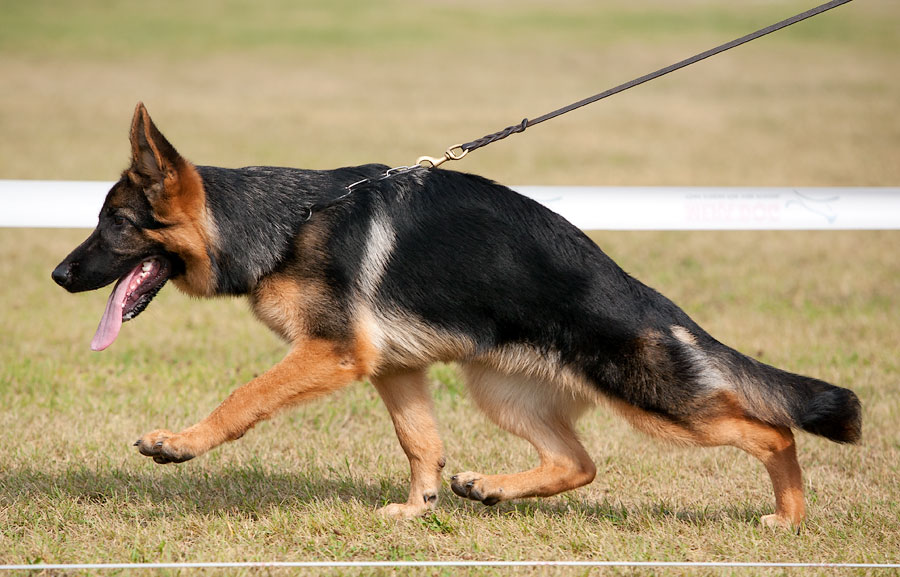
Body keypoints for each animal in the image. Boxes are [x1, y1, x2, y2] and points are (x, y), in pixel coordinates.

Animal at [51, 103, 856, 528]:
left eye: (114, 223)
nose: (59, 275)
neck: (283, 224)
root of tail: (642, 294)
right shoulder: (394, 367)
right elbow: (420, 441)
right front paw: (419, 509)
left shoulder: (332, 353)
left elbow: (243, 398)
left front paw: (180, 444)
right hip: (499, 390)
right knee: (580, 461)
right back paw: (493, 487)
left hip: (655, 399)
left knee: (773, 430)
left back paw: (789, 517)